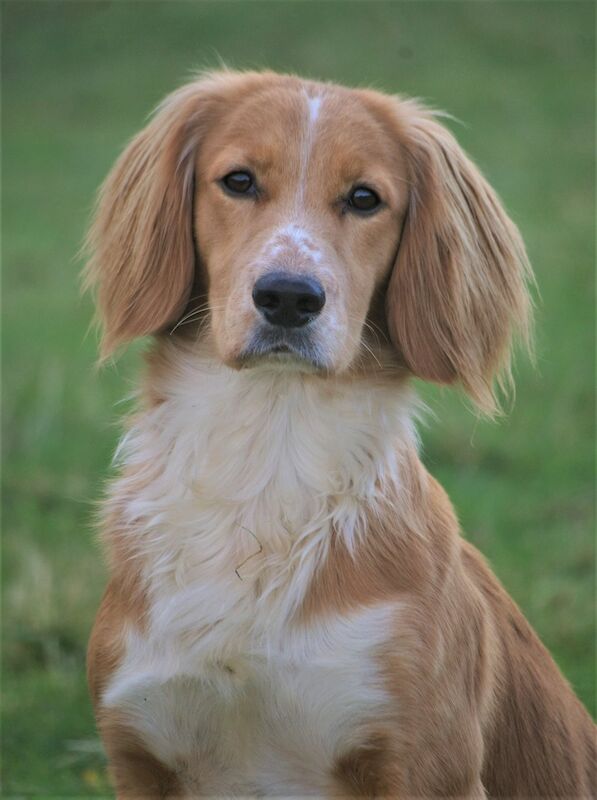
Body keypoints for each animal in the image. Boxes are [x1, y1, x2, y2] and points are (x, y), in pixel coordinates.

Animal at [86, 72, 592, 796]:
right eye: (238, 181)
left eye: (364, 198)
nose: (288, 297)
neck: (266, 462)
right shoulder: (140, 751)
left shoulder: (423, 761)